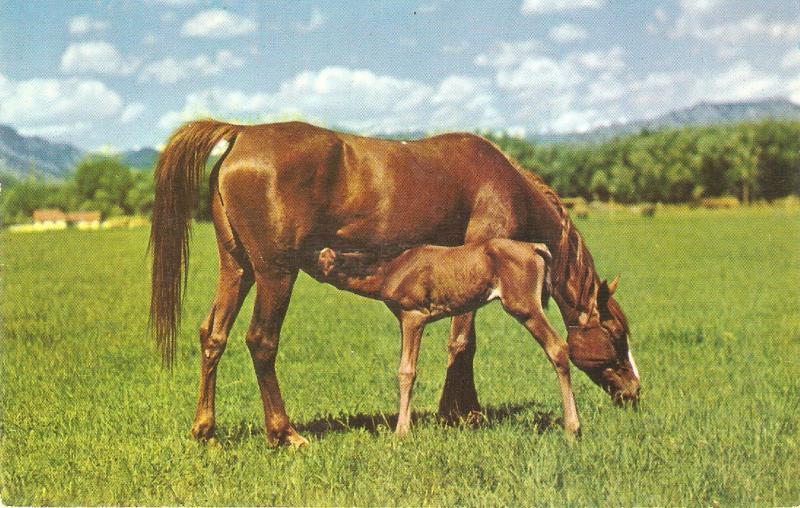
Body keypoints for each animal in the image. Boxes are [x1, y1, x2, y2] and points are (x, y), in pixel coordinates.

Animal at [314, 238, 580, 436]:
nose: (320, 254)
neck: (391, 268)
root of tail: (534, 247)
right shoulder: (404, 319)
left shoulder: (413, 316)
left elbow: (406, 371)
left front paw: (401, 431)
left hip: (524, 306)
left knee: (557, 347)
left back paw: (572, 428)